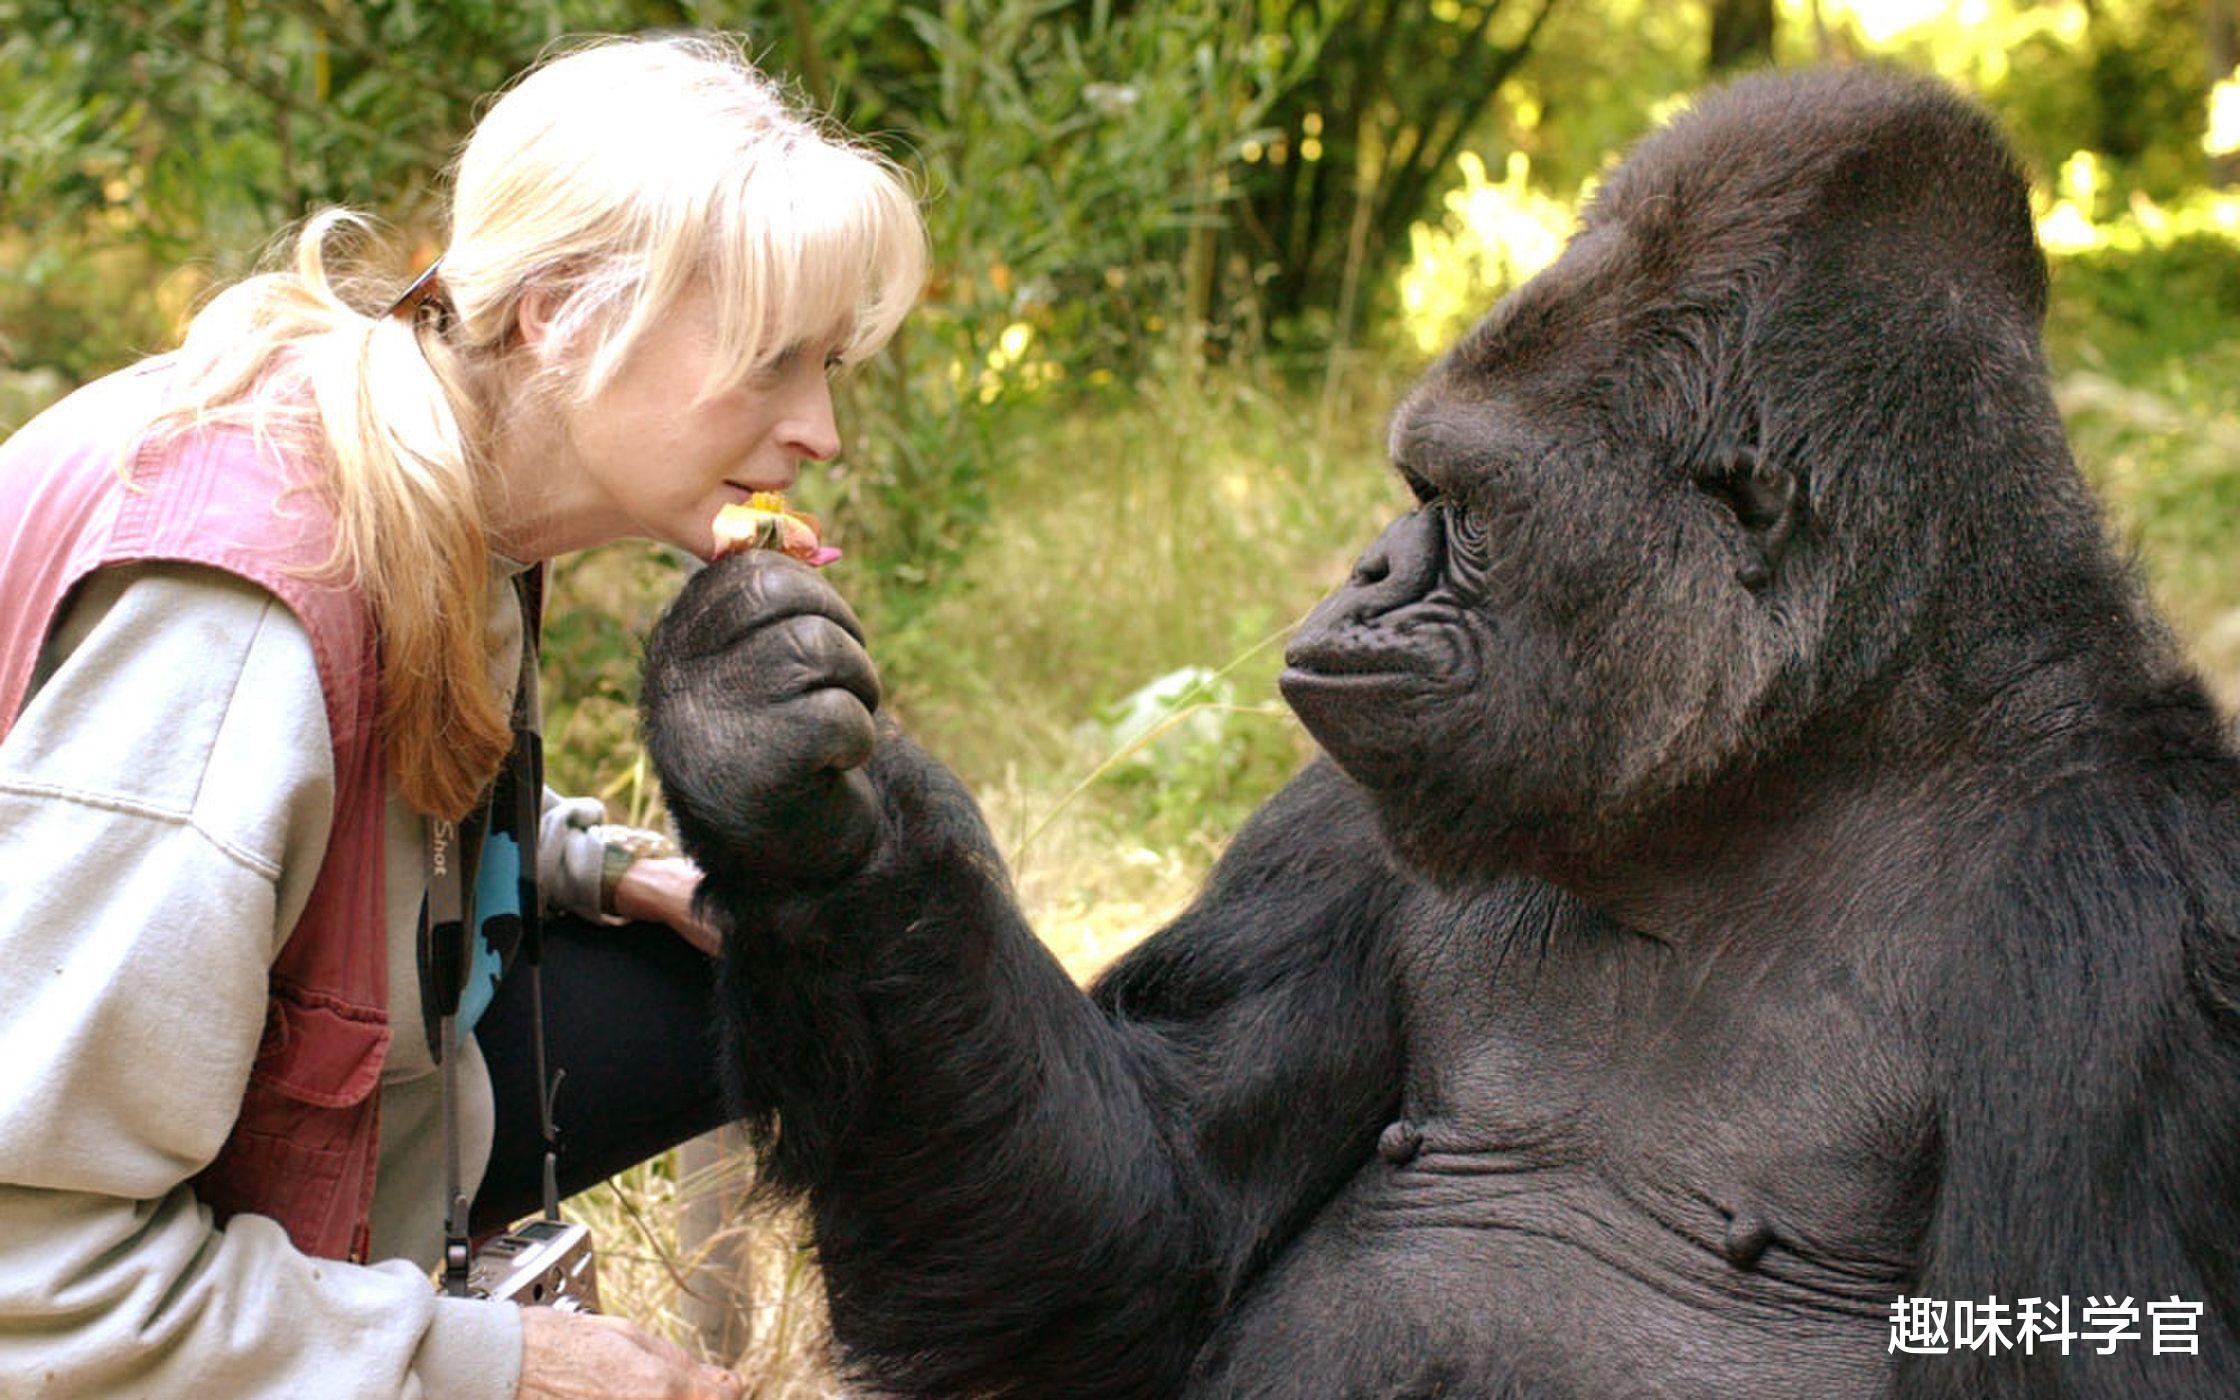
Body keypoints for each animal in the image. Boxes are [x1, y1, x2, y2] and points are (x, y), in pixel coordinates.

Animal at [640, 68, 2240, 1397]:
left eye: (1457, 507)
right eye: (1415, 489)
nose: (1364, 571)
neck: (1802, 753)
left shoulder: (2147, 932)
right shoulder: (1351, 808)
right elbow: (1138, 1235)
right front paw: (786, 799)